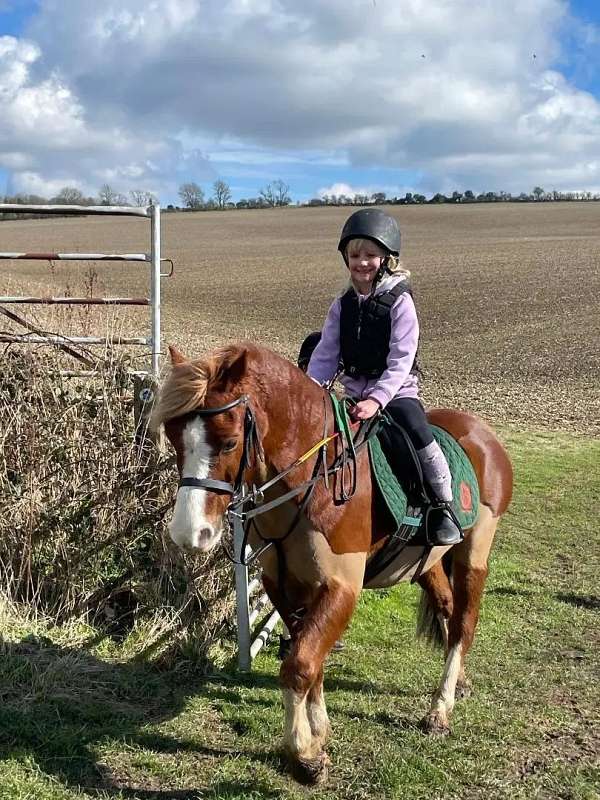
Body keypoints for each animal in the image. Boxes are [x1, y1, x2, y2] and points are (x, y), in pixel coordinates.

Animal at [154, 340, 510, 784]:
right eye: (173, 438)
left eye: (229, 442)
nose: (190, 534)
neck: (311, 477)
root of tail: (483, 434)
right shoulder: (283, 585)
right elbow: (311, 661)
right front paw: (319, 733)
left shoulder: (341, 588)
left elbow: (299, 666)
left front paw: (304, 755)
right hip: (427, 563)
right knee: (447, 608)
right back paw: (457, 683)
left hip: (473, 556)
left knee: (464, 623)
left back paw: (440, 710)